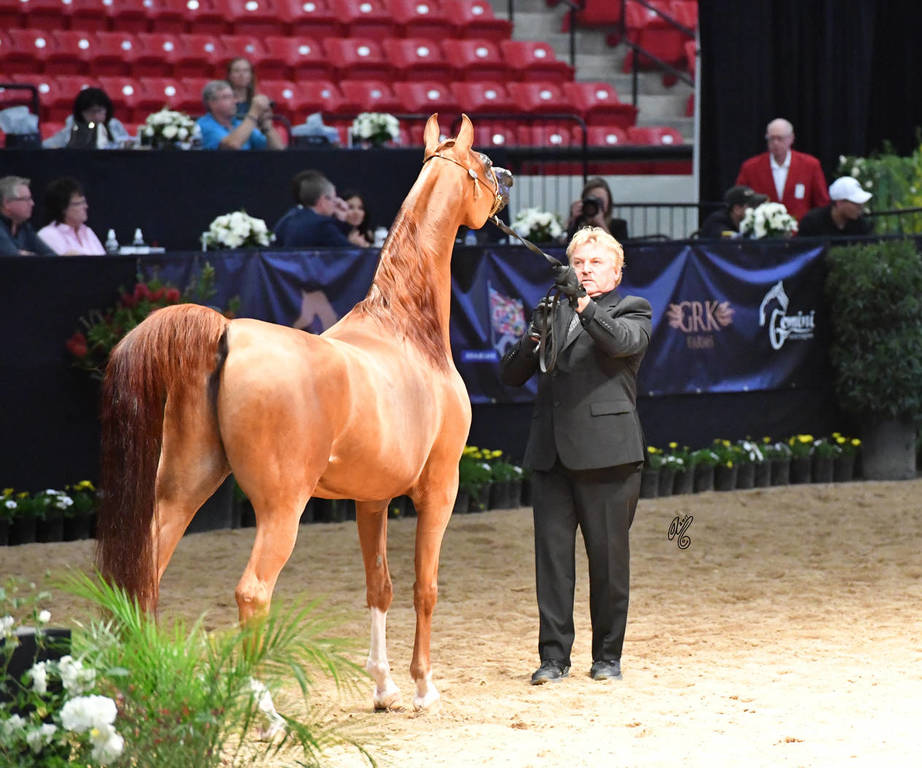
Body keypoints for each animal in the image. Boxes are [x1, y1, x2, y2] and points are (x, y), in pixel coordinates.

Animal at [95, 114, 512, 711]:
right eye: (482, 163)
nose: (507, 181)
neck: (409, 332)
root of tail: (227, 334)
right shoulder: (440, 487)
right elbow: (424, 587)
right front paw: (422, 687)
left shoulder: (371, 498)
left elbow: (380, 587)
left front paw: (384, 687)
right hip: (281, 509)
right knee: (253, 592)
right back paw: (262, 709)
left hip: (184, 486)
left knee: (145, 572)